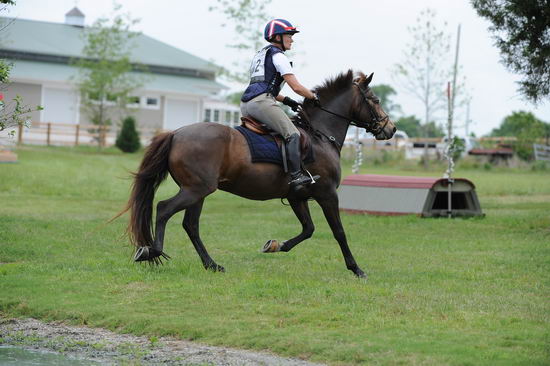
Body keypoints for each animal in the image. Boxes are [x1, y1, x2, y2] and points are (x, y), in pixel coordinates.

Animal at [123, 71, 396, 278]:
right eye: (374, 99)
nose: (391, 129)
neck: (319, 135)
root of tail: (176, 133)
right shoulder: (327, 194)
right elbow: (339, 232)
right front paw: (356, 269)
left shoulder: (297, 196)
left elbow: (308, 229)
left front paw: (275, 246)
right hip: (195, 190)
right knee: (164, 209)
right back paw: (151, 251)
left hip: (197, 192)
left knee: (190, 225)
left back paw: (212, 264)